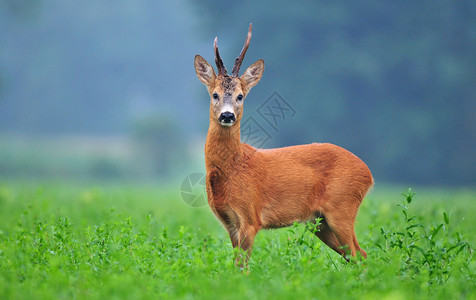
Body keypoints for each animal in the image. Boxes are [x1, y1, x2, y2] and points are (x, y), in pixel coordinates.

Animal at [192, 24, 372, 264]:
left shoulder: (250, 217)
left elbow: (243, 266)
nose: (227, 115)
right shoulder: (230, 223)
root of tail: (368, 174)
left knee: (358, 254)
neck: (232, 168)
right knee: (359, 255)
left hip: (341, 207)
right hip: (320, 223)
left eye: (240, 96)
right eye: (214, 94)